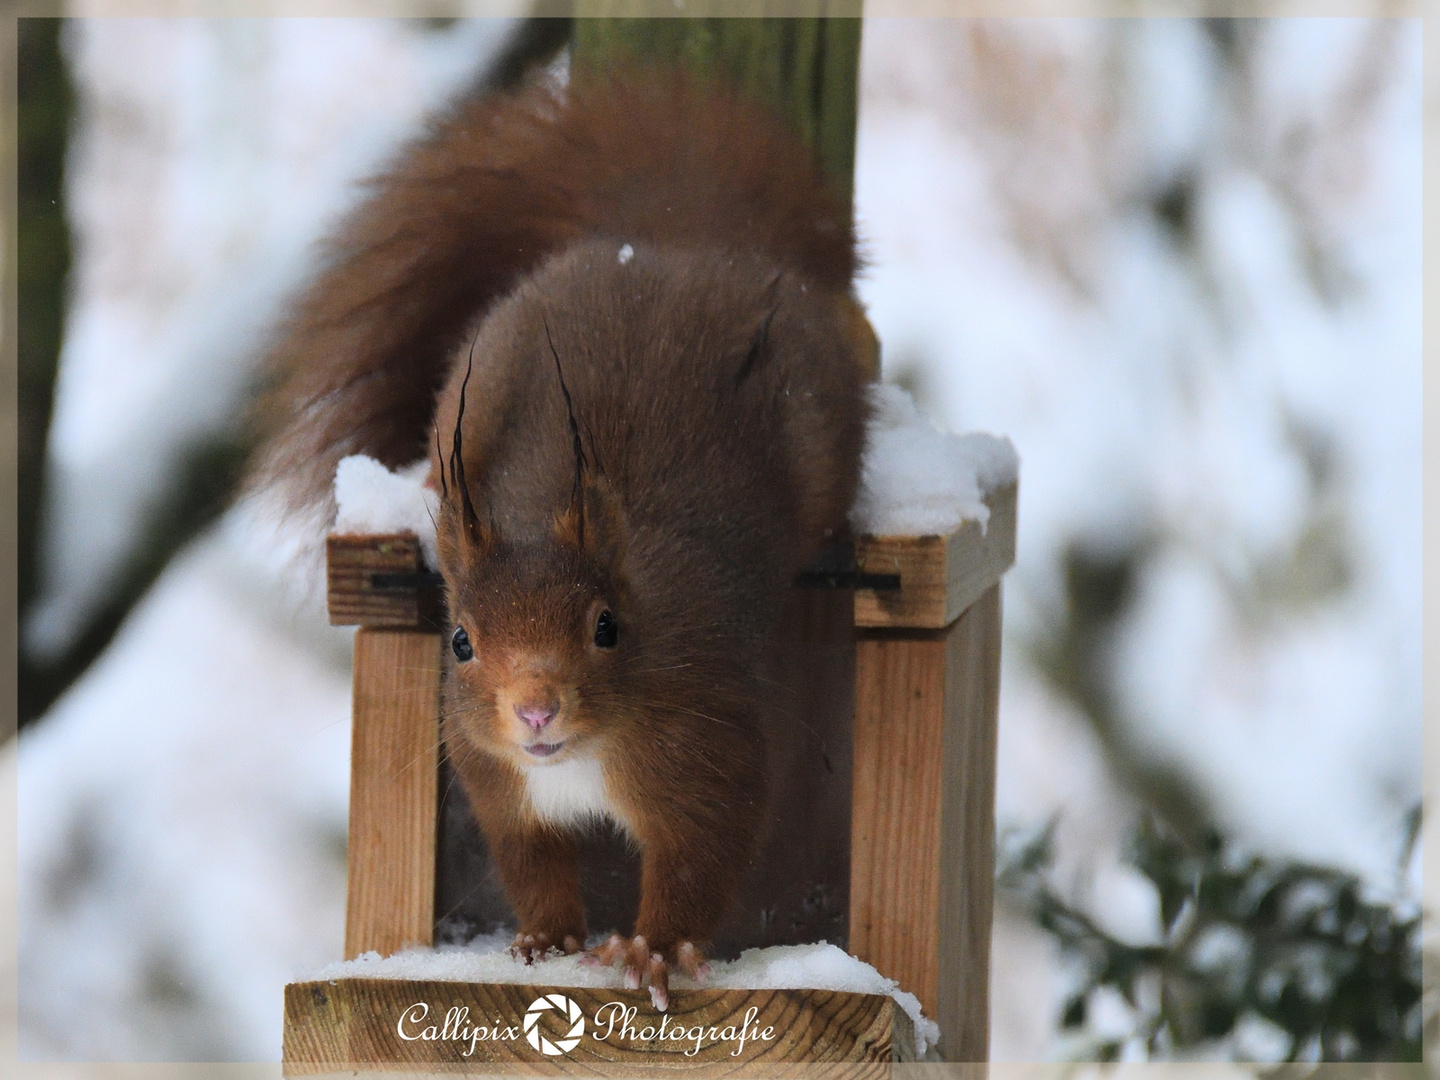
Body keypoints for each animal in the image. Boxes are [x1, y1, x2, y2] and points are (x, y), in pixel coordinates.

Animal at [253, 69, 869, 1013]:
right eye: (460, 642)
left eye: (607, 627)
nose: (535, 709)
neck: (577, 758)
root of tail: (668, 244)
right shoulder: (495, 780)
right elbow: (532, 862)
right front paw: (543, 941)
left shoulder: (707, 748)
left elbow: (701, 860)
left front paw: (650, 949)